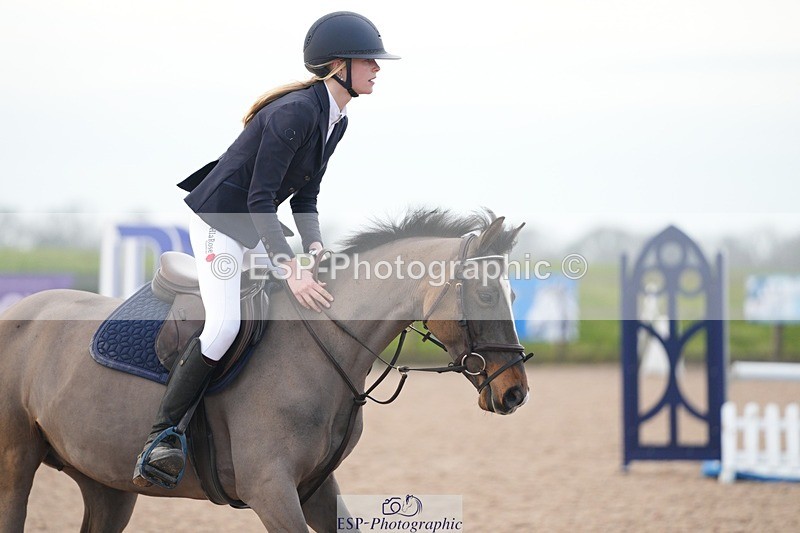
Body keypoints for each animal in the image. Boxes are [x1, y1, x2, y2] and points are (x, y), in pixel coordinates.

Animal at [0, 209, 531, 532]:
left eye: (513, 294)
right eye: (487, 295)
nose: (515, 393)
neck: (321, 347)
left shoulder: (316, 489)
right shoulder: (271, 490)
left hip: (106, 485)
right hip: (17, 461)